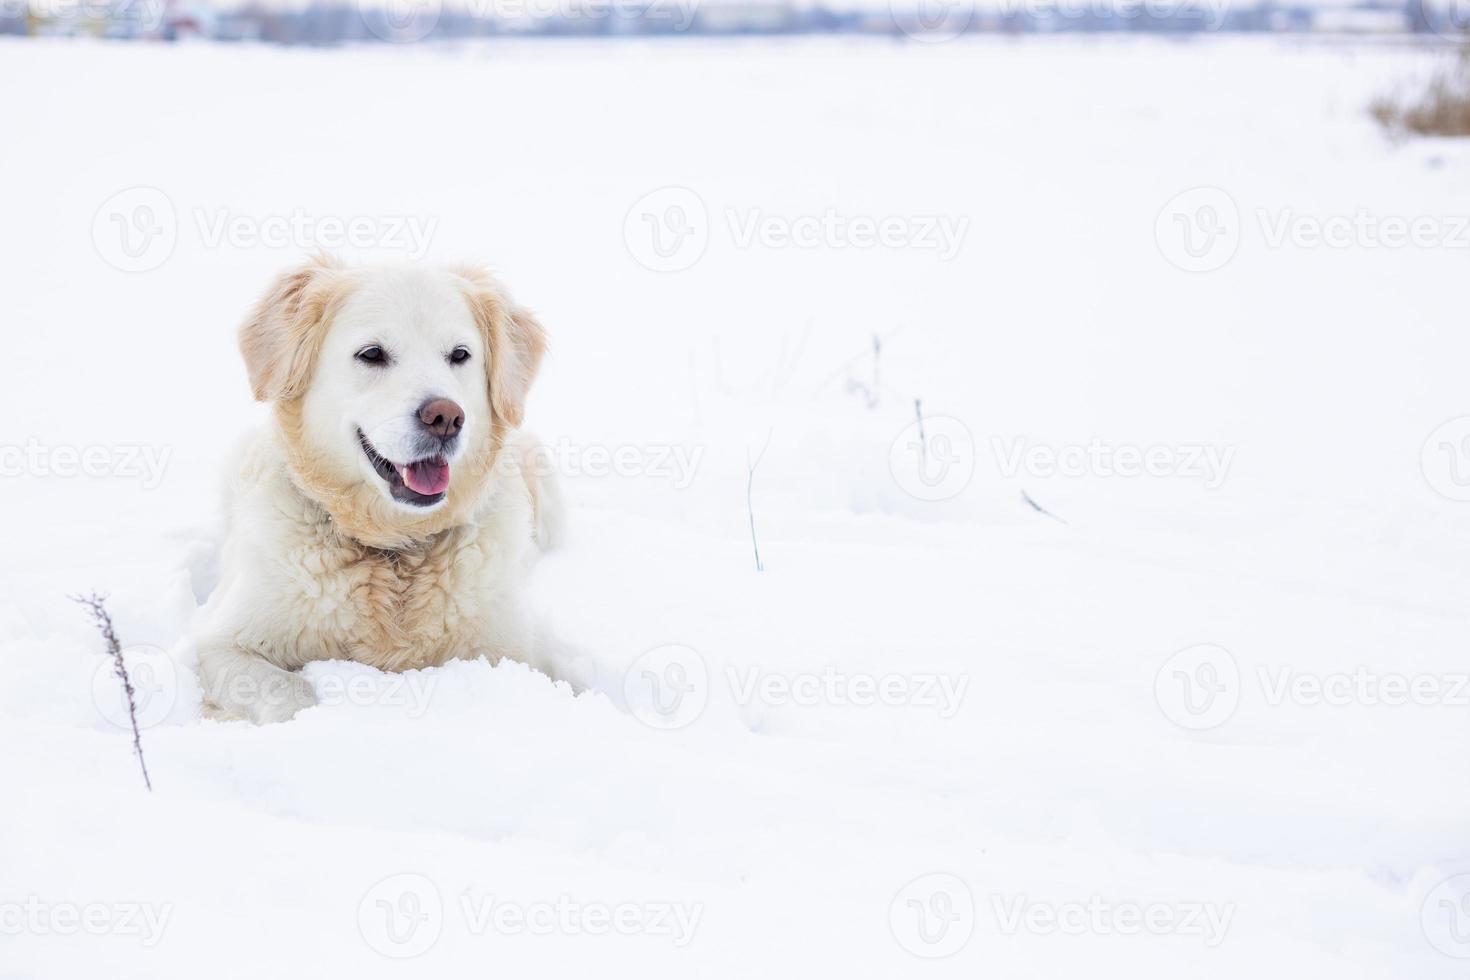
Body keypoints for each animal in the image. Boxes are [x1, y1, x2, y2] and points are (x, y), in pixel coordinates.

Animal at [195, 257, 561, 725]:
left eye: (460, 355)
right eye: (372, 354)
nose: (445, 417)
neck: (393, 549)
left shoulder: (514, 654)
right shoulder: (219, 642)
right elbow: (288, 691)